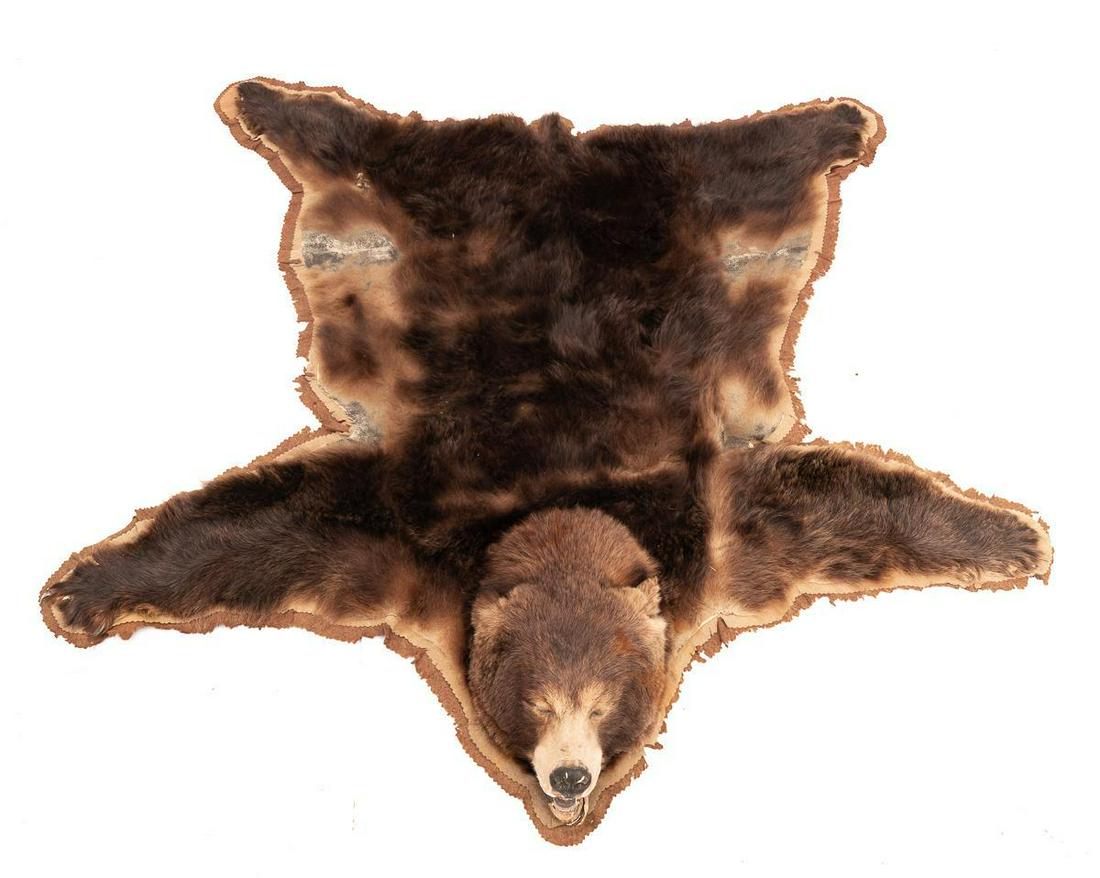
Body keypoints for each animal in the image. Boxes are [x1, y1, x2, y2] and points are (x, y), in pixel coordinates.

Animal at [40, 79, 1053, 840]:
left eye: (605, 703)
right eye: (535, 700)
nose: (568, 782)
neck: (565, 519)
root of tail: (558, 154)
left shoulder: (715, 527)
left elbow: (830, 500)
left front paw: (1013, 536)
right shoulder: (405, 529)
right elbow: (262, 525)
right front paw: (81, 588)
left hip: (667, 194)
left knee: (741, 158)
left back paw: (843, 119)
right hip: (457, 187)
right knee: (383, 144)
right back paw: (266, 100)